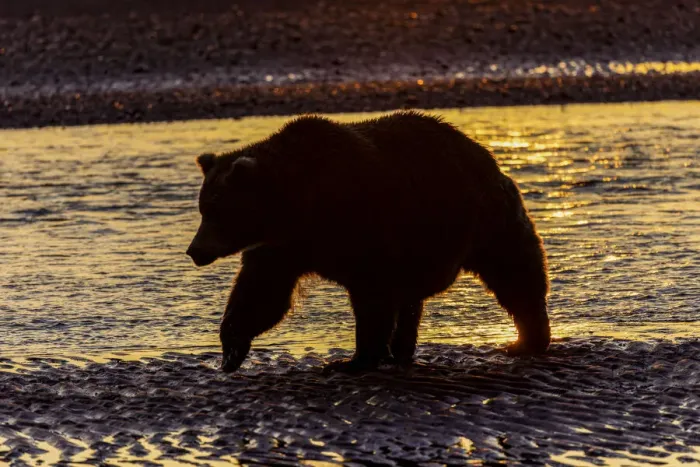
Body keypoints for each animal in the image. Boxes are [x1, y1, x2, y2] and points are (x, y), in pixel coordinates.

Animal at [186, 111, 550, 374]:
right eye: (203, 208)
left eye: (217, 211)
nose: (194, 251)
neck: (299, 206)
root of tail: (484, 154)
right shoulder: (283, 247)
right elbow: (261, 293)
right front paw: (231, 349)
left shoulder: (363, 225)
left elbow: (371, 295)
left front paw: (354, 360)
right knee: (413, 299)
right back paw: (402, 350)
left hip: (482, 218)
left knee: (515, 272)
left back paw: (528, 340)